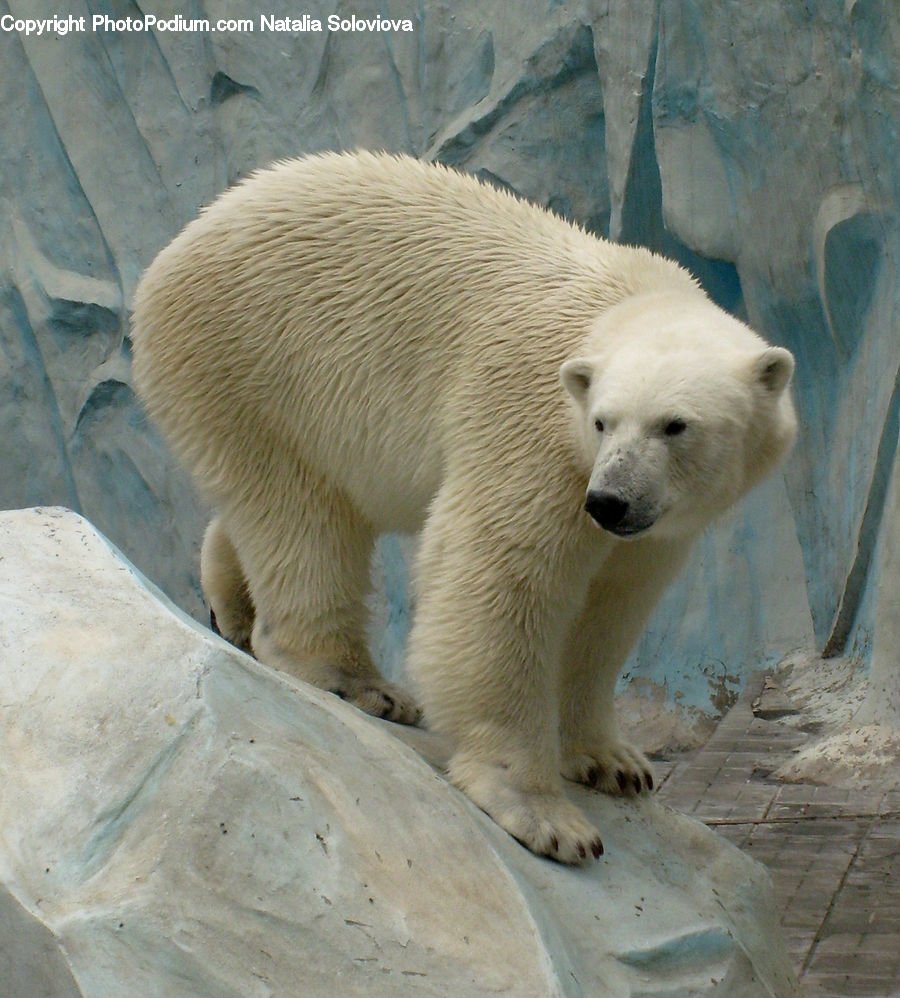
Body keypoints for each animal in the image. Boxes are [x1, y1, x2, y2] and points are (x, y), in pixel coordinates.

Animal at [131, 151, 796, 864]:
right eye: (602, 422)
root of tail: (172, 254)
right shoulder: (531, 423)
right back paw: (357, 681)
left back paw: (231, 604)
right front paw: (544, 814)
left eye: (675, 425)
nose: (609, 503)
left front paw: (613, 761)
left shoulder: (651, 527)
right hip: (253, 360)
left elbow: (610, 608)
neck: (621, 300)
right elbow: (500, 579)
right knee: (302, 516)